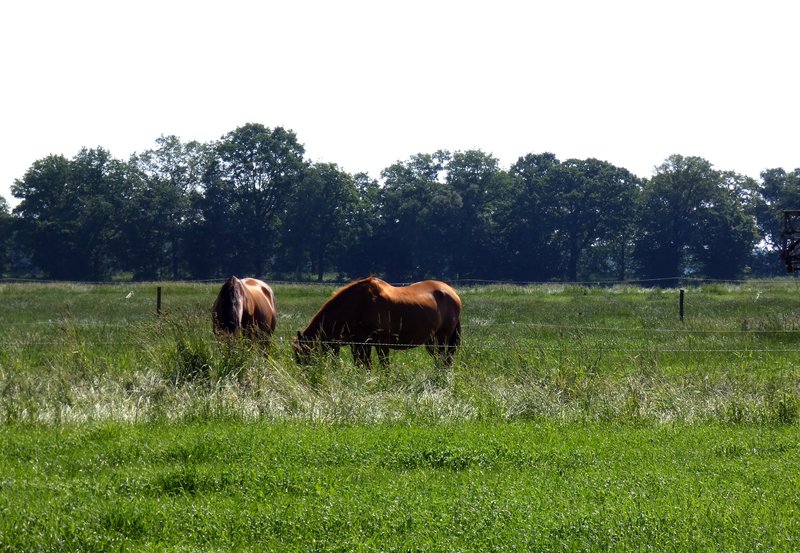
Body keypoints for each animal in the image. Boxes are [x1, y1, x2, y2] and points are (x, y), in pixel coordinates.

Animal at [292, 276, 461, 368]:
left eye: (303, 355)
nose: (306, 380)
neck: (359, 304)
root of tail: (452, 292)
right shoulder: (358, 343)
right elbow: (362, 365)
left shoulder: (380, 342)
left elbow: (383, 365)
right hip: (431, 341)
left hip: (442, 339)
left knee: (445, 360)